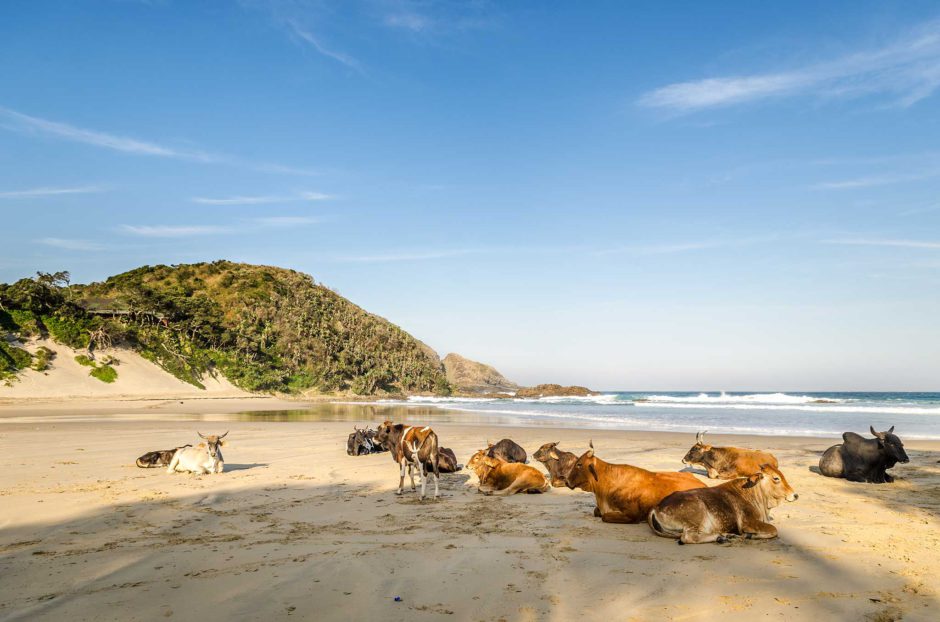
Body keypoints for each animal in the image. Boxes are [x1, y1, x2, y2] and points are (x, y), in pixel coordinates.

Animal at [648, 464, 796, 544]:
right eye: (776, 478)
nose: (795, 495)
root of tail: (656, 507)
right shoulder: (749, 522)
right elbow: (774, 530)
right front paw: (749, 535)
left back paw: (726, 536)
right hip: (695, 517)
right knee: (688, 537)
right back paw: (721, 537)